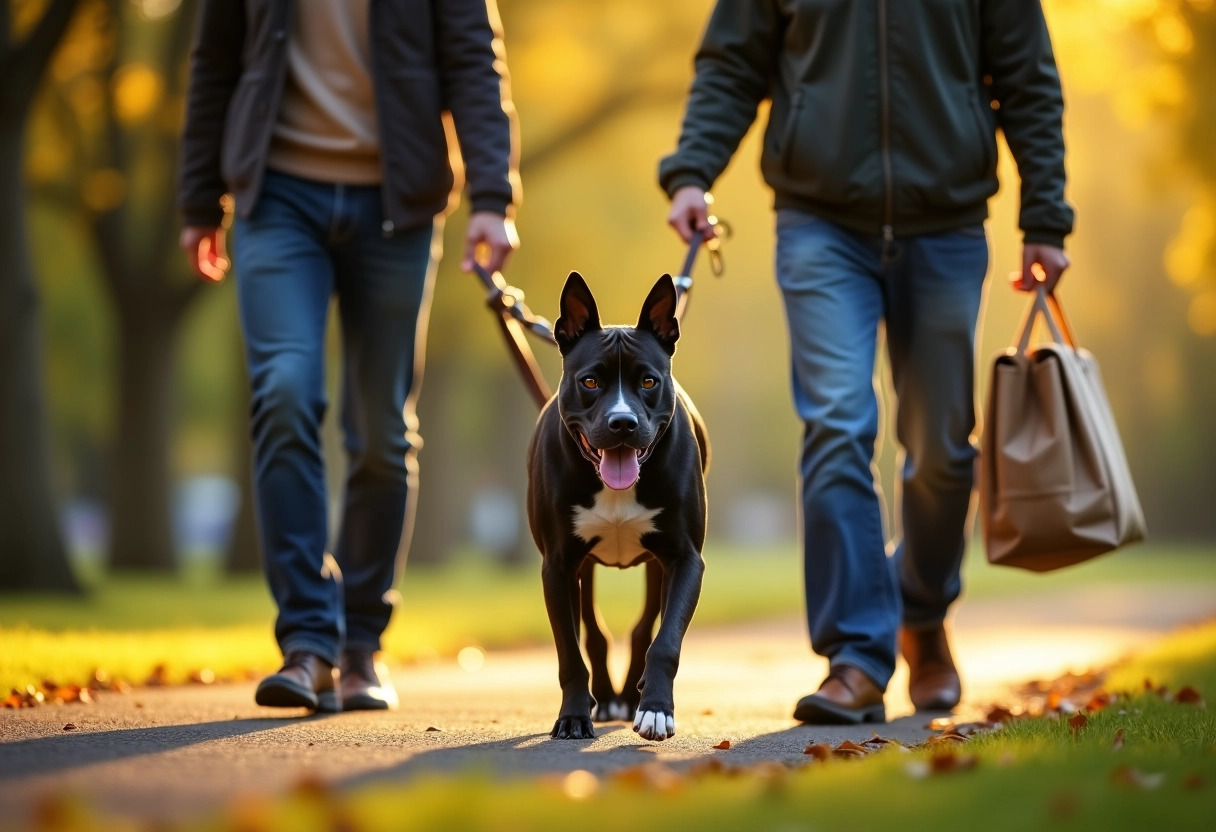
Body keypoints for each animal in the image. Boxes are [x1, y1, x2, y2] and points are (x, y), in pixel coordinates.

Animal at [525, 272, 710, 739]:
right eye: (590, 382)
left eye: (648, 382)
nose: (622, 423)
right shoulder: (557, 565)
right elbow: (570, 652)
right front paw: (574, 716)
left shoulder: (685, 559)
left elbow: (665, 641)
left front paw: (656, 709)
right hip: (583, 569)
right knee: (593, 632)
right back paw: (606, 698)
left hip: (655, 566)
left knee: (644, 628)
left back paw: (630, 696)